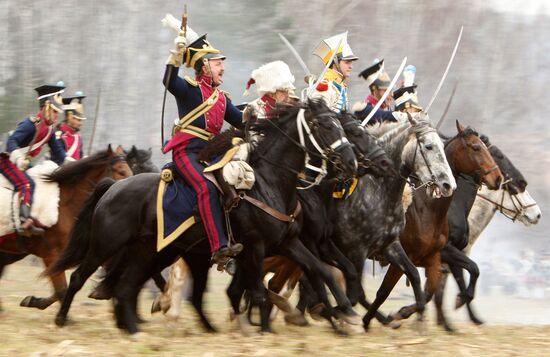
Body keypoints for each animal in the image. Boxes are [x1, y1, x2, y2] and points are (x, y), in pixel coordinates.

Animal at [46, 99, 358, 334]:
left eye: (339, 124)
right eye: (323, 125)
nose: (351, 162)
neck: (267, 183)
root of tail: (113, 187)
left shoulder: (287, 243)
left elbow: (318, 270)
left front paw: (346, 310)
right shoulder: (255, 248)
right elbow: (258, 291)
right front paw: (262, 329)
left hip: (148, 251)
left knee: (127, 287)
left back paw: (137, 328)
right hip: (106, 245)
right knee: (80, 277)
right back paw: (62, 319)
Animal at [332, 112, 458, 330]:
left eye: (443, 147)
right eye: (428, 146)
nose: (448, 184)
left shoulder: (394, 246)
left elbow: (417, 281)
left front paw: (410, 319)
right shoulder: (357, 251)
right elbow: (362, 293)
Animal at [376, 120, 504, 328]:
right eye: (476, 147)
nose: (499, 178)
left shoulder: (443, 255)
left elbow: (464, 274)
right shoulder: (445, 251)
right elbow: (468, 272)